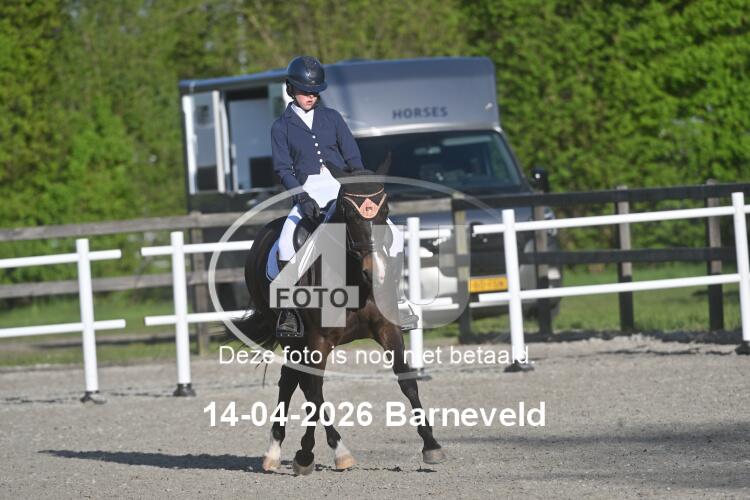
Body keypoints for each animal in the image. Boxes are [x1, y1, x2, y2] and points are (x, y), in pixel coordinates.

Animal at [235, 171, 445, 475]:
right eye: (351, 215)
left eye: (385, 210)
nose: (376, 273)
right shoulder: (319, 340)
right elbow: (315, 391)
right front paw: (317, 453)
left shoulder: (388, 329)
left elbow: (407, 380)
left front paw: (431, 444)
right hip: (293, 338)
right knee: (303, 384)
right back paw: (287, 451)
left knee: (290, 380)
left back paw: (276, 450)